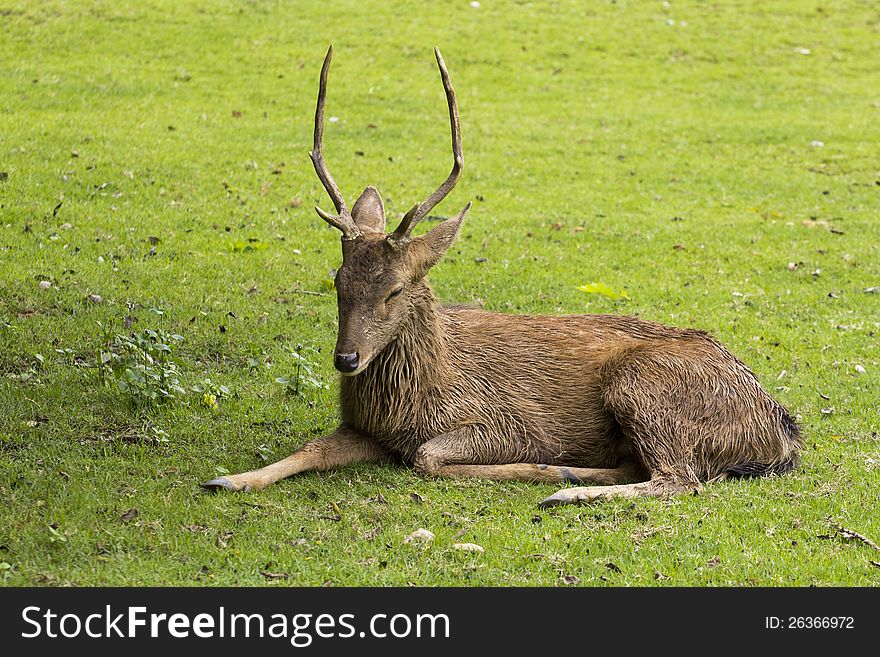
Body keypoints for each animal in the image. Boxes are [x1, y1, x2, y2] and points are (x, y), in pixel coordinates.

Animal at [201, 46, 804, 508]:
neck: (414, 399)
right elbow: (309, 449)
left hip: (644, 387)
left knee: (680, 479)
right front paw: (226, 478)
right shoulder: (365, 429)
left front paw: (545, 468)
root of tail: (779, 431)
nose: (346, 358)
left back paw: (566, 488)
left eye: (395, 288)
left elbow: (427, 457)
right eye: (337, 281)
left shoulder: (507, 421)